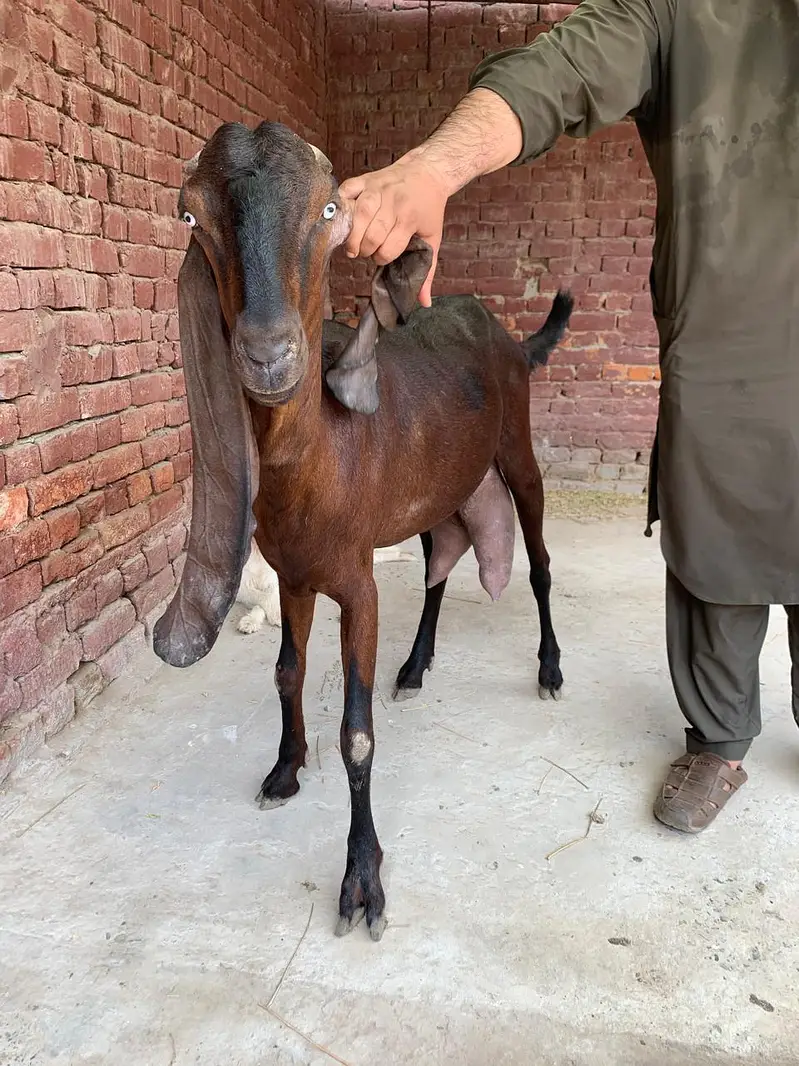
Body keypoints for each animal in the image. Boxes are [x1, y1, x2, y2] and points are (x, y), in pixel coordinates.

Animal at [153, 121, 573, 941]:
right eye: (192, 217)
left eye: (327, 212)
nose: (268, 354)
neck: (317, 460)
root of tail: (503, 333)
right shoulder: (293, 576)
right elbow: (286, 673)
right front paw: (284, 770)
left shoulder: (357, 586)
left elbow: (357, 732)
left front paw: (361, 881)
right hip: (436, 491)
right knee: (440, 563)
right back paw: (415, 666)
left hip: (518, 449)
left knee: (537, 560)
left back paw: (547, 669)